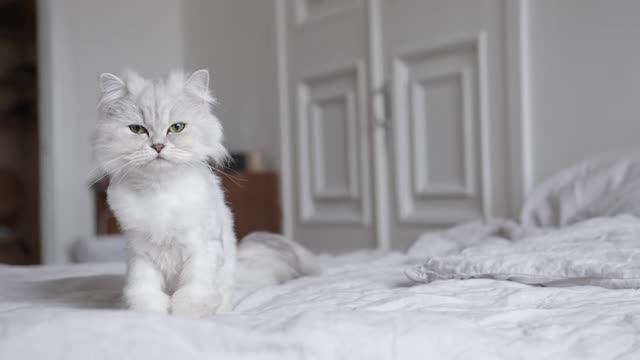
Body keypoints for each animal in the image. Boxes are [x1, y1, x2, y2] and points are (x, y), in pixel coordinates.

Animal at [94, 70, 236, 318]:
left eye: (177, 127)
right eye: (137, 130)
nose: (158, 146)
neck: (159, 190)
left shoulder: (201, 247)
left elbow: (194, 287)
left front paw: (187, 313)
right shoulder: (140, 252)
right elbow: (143, 289)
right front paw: (151, 312)